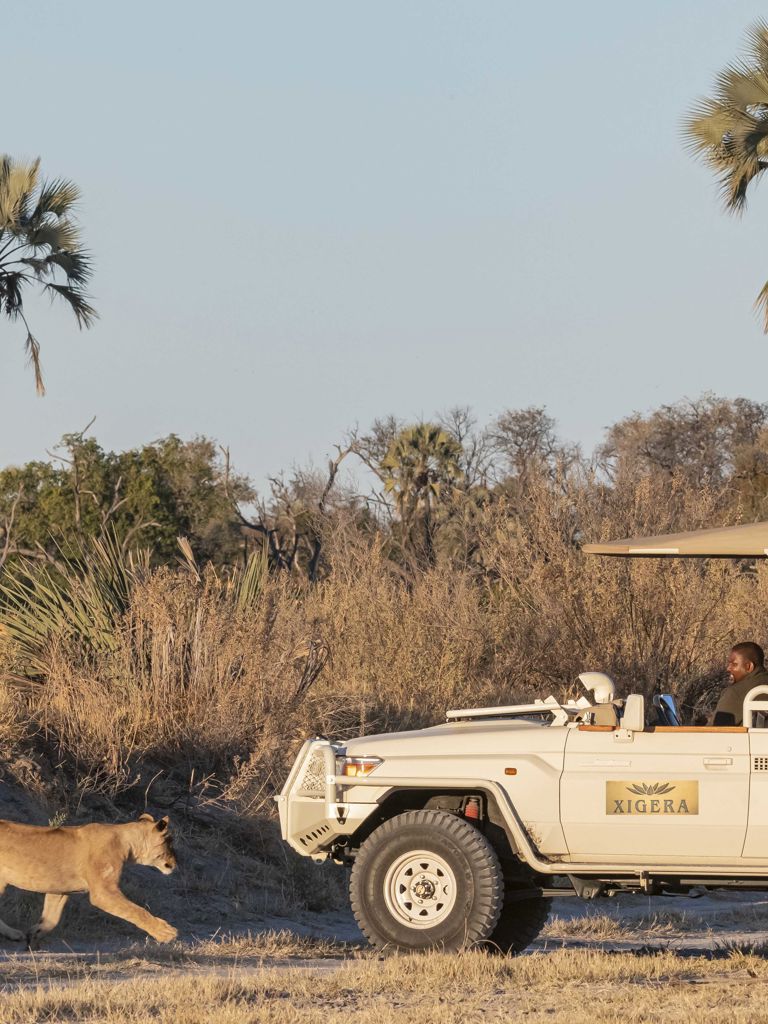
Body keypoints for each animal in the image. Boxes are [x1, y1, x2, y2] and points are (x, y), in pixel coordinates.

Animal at [0, 813, 178, 947]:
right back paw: (13, 934)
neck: (126, 841)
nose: (175, 864)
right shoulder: (103, 892)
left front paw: (34, 935)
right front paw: (166, 932)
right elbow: (137, 911)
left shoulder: (59, 890)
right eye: (169, 842)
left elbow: (51, 919)